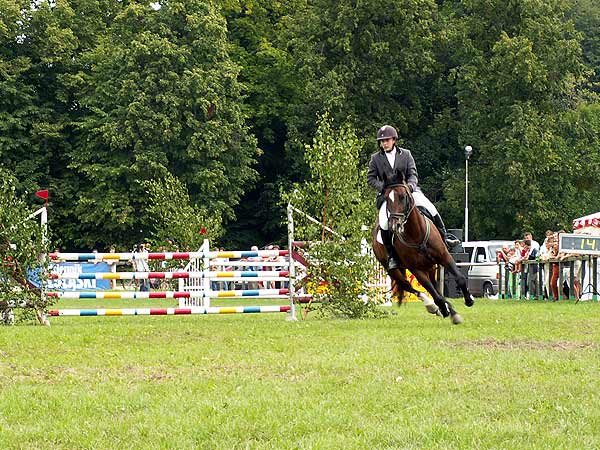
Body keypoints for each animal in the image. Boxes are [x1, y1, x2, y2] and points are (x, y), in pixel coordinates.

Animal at [370, 170, 474, 324]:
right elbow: (435, 295)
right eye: (387, 199)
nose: (394, 225)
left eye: (403, 196)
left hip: (430, 266)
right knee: (410, 286)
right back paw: (434, 307)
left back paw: (449, 310)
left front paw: (468, 299)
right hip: (393, 269)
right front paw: (443, 308)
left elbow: (459, 278)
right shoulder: (417, 270)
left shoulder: (444, 256)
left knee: (435, 287)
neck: (416, 235)